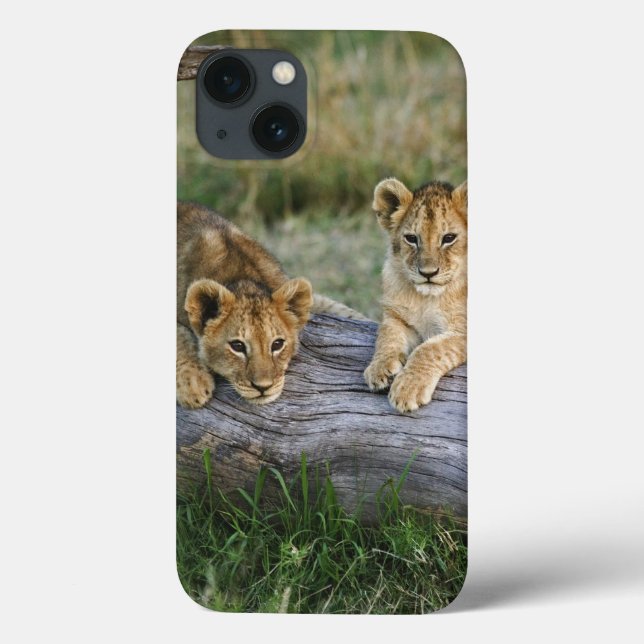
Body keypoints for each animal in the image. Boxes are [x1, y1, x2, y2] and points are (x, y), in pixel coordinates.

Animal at [177, 202, 365, 409]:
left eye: (277, 344)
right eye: (237, 346)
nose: (263, 387)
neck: (242, 276)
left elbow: (339, 308)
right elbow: (179, 336)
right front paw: (193, 384)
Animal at [363, 178, 467, 413]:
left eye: (448, 238)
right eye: (411, 239)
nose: (428, 273)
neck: (426, 298)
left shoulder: (464, 330)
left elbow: (430, 349)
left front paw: (408, 388)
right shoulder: (397, 317)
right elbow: (386, 336)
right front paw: (379, 368)